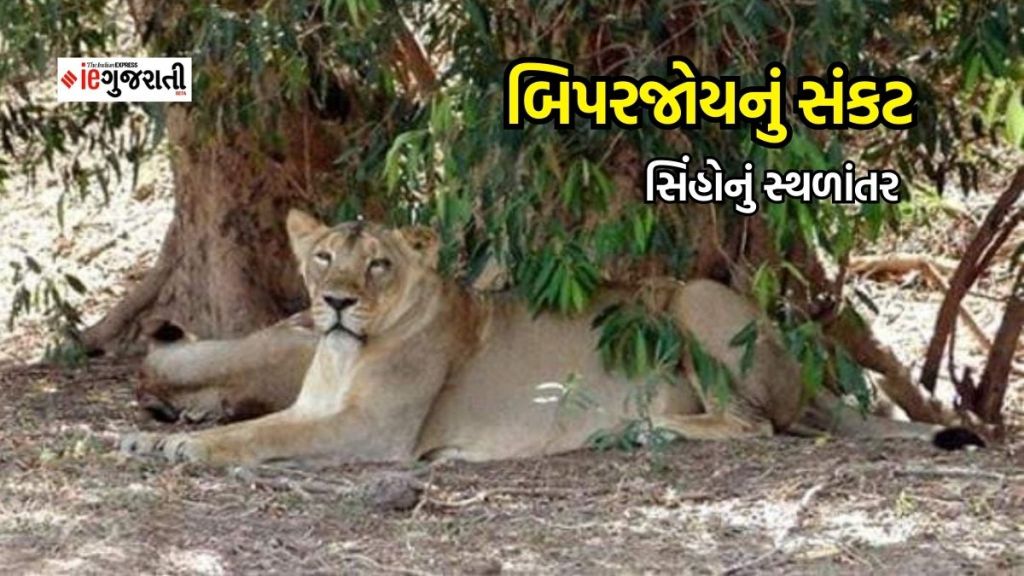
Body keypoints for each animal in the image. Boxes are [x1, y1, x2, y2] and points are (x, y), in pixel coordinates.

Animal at [120, 210, 976, 466]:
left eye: (380, 265)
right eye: (324, 257)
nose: (332, 302)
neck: (340, 354)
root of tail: (811, 375)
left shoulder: (375, 434)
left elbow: (256, 437)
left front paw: (187, 447)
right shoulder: (315, 409)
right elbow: (262, 421)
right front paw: (143, 439)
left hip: (695, 298)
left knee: (755, 424)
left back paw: (641, 430)